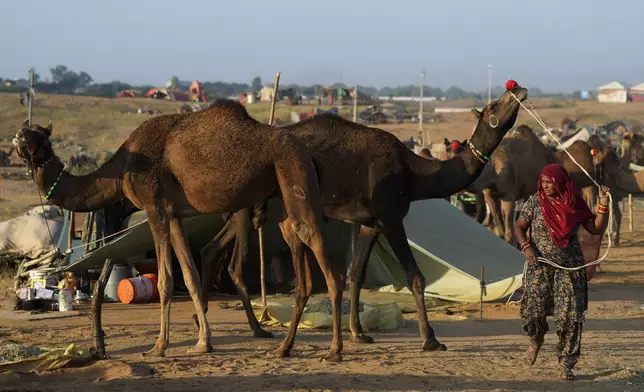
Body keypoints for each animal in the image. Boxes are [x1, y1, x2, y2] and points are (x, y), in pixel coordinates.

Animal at [10, 99, 348, 362]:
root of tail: (304, 148)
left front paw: (159, 347)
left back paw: (334, 350)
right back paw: (283, 348)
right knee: (297, 248)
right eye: (26, 132)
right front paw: (203, 343)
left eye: (38, 137)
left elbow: (165, 280)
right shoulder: (174, 214)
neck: (123, 166)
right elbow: (191, 276)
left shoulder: (154, 206)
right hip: (281, 190)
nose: (17, 138)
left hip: (294, 170)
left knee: (318, 248)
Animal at [194, 86, 532, 350]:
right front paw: (430, 339)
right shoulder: (392, 218)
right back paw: (254, 328)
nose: (518, 88)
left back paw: (205, 320)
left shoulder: (371, 224)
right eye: (494, 106)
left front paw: (358, 333)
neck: (415, 173)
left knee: (211, 248)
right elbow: (415, 276)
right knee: (234, 263)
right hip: (248, 202)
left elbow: (355, 274)